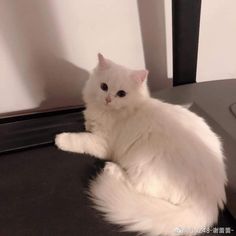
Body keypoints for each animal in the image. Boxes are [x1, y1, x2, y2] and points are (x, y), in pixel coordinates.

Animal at [54, 54, 227, 236]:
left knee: (136, 185)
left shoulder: (102, 143)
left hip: (142, 164)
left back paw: (111, 169)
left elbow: (80, 139)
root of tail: (209, 204)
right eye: (104, 87)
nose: (108, 99)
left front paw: (60, 140)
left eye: (121, 94)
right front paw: (87, 124)